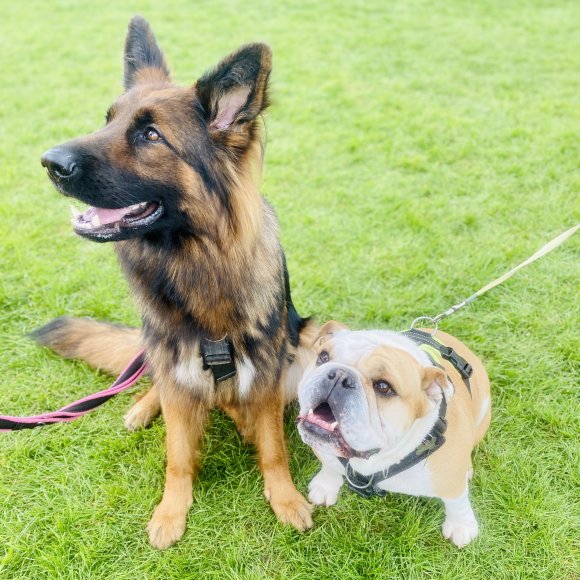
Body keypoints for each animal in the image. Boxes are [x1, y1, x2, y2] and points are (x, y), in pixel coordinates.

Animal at [37, 14, 318, 548]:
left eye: (150, 135)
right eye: (108, 119)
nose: (49, 162)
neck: (196, 262)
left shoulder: (268, 366)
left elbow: (273, 445)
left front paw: (285, 497)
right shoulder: (175, 362)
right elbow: (178, 455)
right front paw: (172, 511)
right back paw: (145, 407)